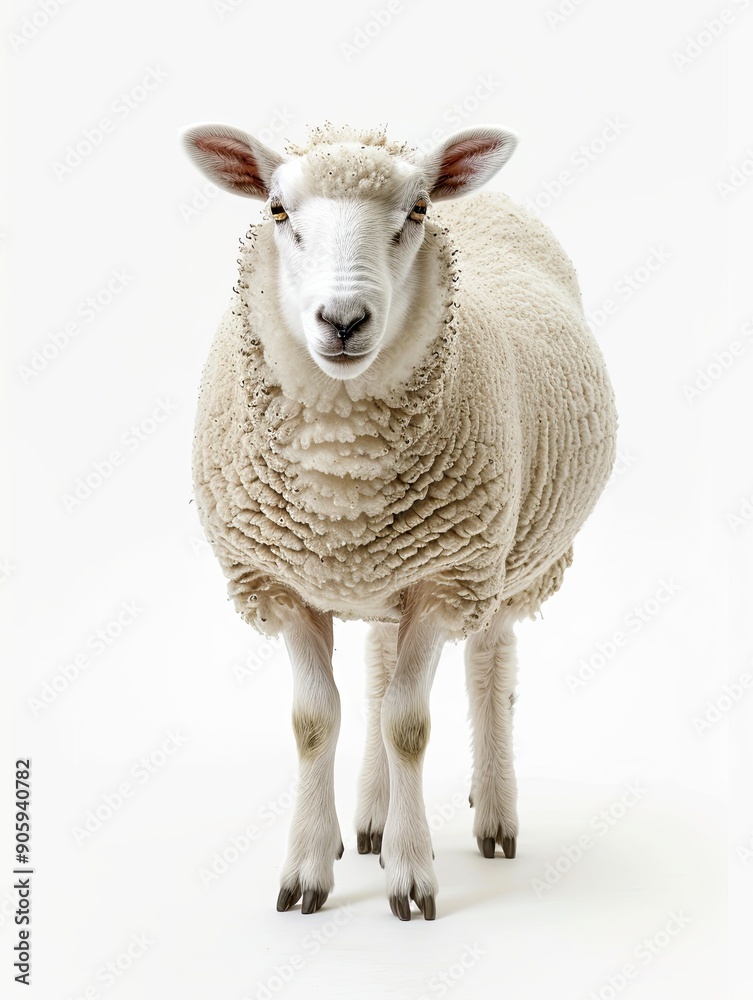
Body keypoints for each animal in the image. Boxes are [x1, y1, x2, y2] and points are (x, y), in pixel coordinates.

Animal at [181, 121, 617, 921]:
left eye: (415, 211)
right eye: (277, 210)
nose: (343, 320)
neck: (342, 477)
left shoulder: (446, 580)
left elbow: (407, 725)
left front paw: (411, 879)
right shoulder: (282, 584)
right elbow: (316, 721)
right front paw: (307, 868)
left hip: (504, 562)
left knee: (489, 668)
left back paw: (494, 814)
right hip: (391, 573)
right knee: (381, 668)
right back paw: (371, 819)